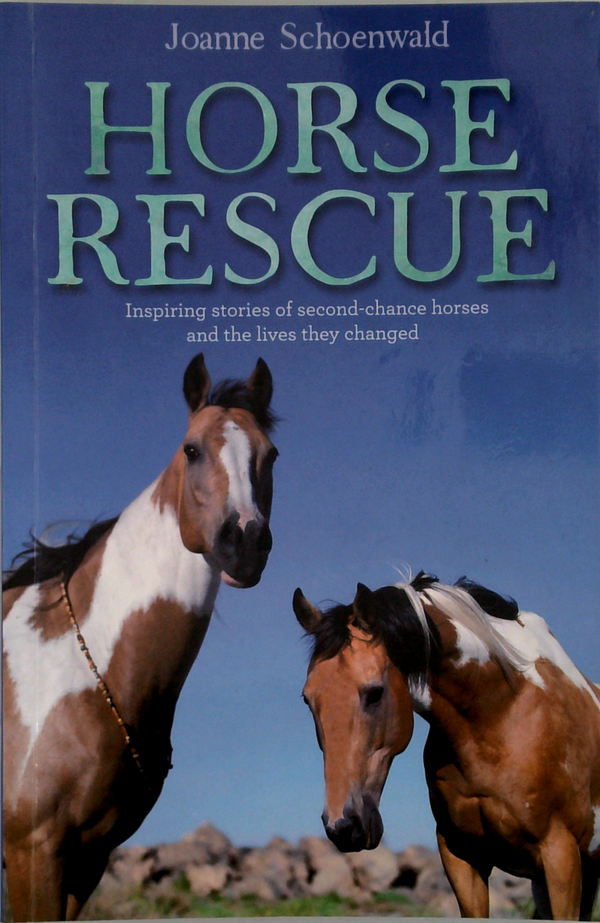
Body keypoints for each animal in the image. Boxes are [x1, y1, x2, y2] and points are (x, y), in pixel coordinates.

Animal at [294, 573, 600, 920]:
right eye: (308, 699)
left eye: (375, 692)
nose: (342, 826)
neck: (501, 714)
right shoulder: (462, 856)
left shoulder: (561, 856)